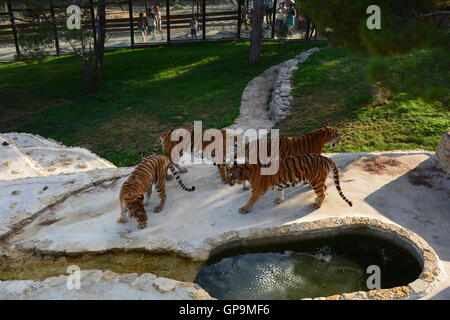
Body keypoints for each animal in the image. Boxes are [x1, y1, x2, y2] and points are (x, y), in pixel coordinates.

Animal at [218, 153, 352, 214]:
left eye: (230, 176)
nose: (227, 183)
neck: (247, 171)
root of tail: (325, 157)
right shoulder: (279, 183)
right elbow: (280, 191)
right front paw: (279, 201)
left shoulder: (257, 190)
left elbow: (251, 200)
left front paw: (244, 209)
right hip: (317, 180)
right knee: (324, 188)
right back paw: (316, 199)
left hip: (316, 180)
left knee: (322, 192)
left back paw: (317, 205)